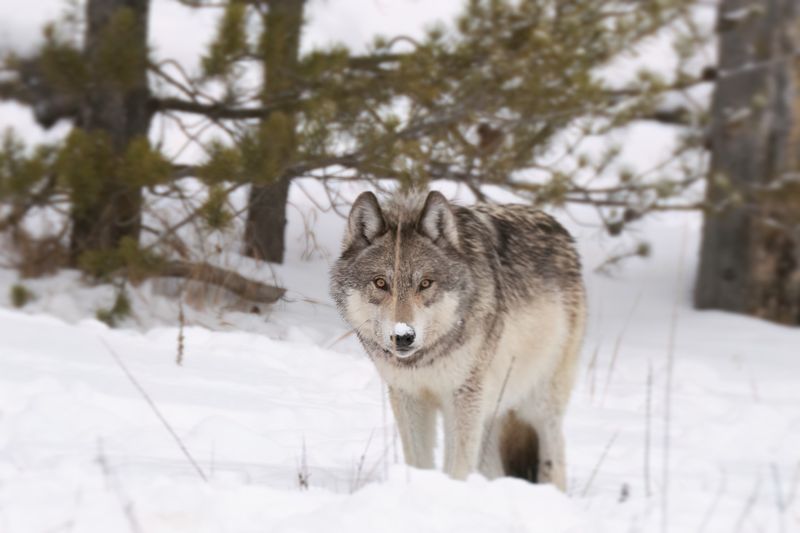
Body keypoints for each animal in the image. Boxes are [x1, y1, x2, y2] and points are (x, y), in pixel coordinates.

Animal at [328, 189, 584, 488]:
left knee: (554, 462)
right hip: (492, 412)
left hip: (537, 406)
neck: (424, 359)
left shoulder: (462, 398)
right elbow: (418, 461)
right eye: (380, 283)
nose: (403, 336)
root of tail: (558, 227)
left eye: (425, 283)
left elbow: (457, 468)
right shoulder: (407, 397)